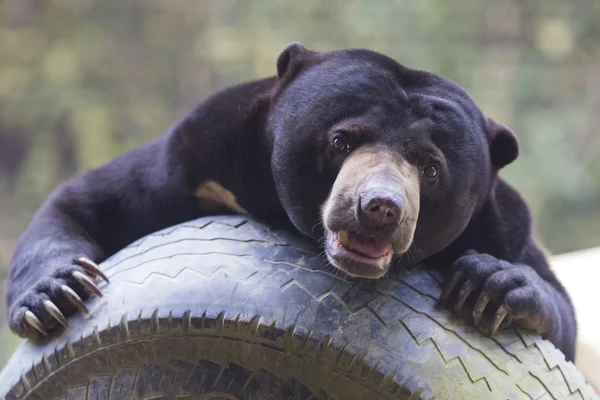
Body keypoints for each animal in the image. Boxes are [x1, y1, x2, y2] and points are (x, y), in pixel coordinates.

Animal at [4, 43, 576, 360]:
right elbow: (89, 202)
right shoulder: (198, 160)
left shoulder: (501, 223)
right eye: (341, 140)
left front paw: (489, 284)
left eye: (431, 170)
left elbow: (559, 312)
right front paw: (55, 295)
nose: (380, 208)